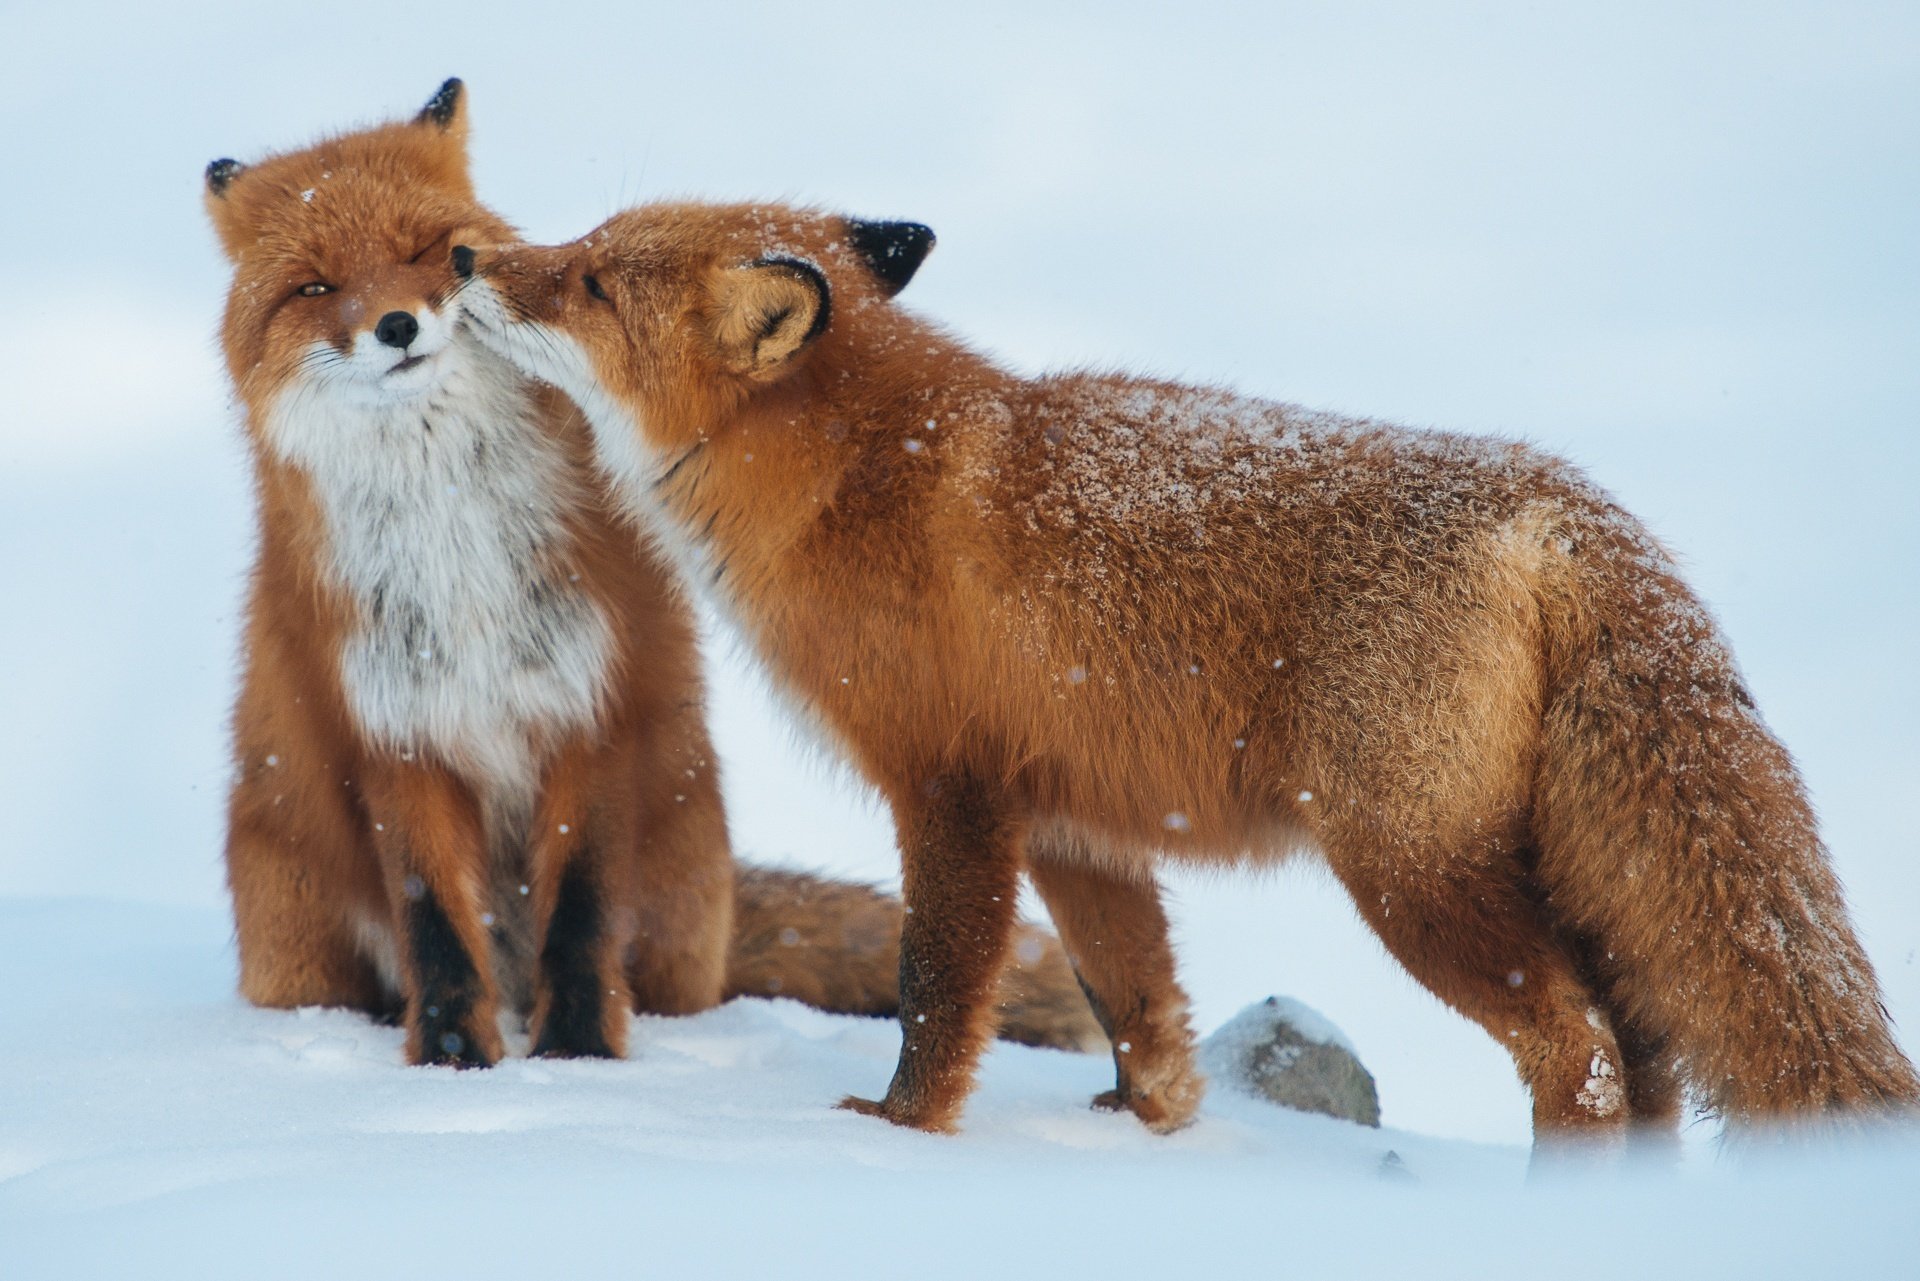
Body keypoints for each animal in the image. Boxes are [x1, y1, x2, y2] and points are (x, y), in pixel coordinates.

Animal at [202, 75, 1105, 1067]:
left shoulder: (597, 702)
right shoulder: (397, 734)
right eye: (314, 287)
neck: (458, 549)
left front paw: (579, 1060)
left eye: (423, 250)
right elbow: (435, 927)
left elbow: (581, 912)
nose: (398, 325)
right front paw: (456, 1067)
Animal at [453, 202, 1920, 1152]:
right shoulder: (1076, 824)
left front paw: (899, 1134)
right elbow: (1136, 1006)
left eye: (590, 279)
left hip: (1411, 876)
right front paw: (1147, 1134)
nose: (467, 255)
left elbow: (939, 989)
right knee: (1649, 1052)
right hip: (1545, 871)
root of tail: (1561, 505)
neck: (860, 475)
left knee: (1588, 1054)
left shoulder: (950, 791)